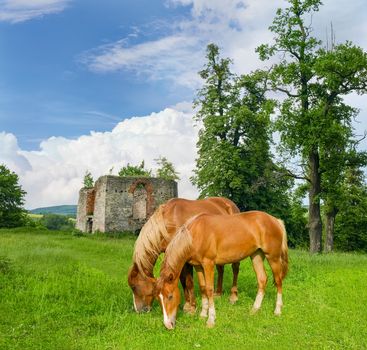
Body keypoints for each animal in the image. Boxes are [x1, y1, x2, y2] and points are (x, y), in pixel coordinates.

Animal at [157, 211, 288, 330]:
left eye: (170, 296)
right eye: (159, 298)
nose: (168, 325)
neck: (195, 234)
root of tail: (275, 220)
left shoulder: (208, 264)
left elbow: (209, 290)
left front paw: (210, 320)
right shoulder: (198, 266)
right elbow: (203, 288)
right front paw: (203, 314)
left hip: (273, 257)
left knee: (278, 281)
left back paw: (277, 310)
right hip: (256, 255)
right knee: (262, 279)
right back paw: (254, 309)